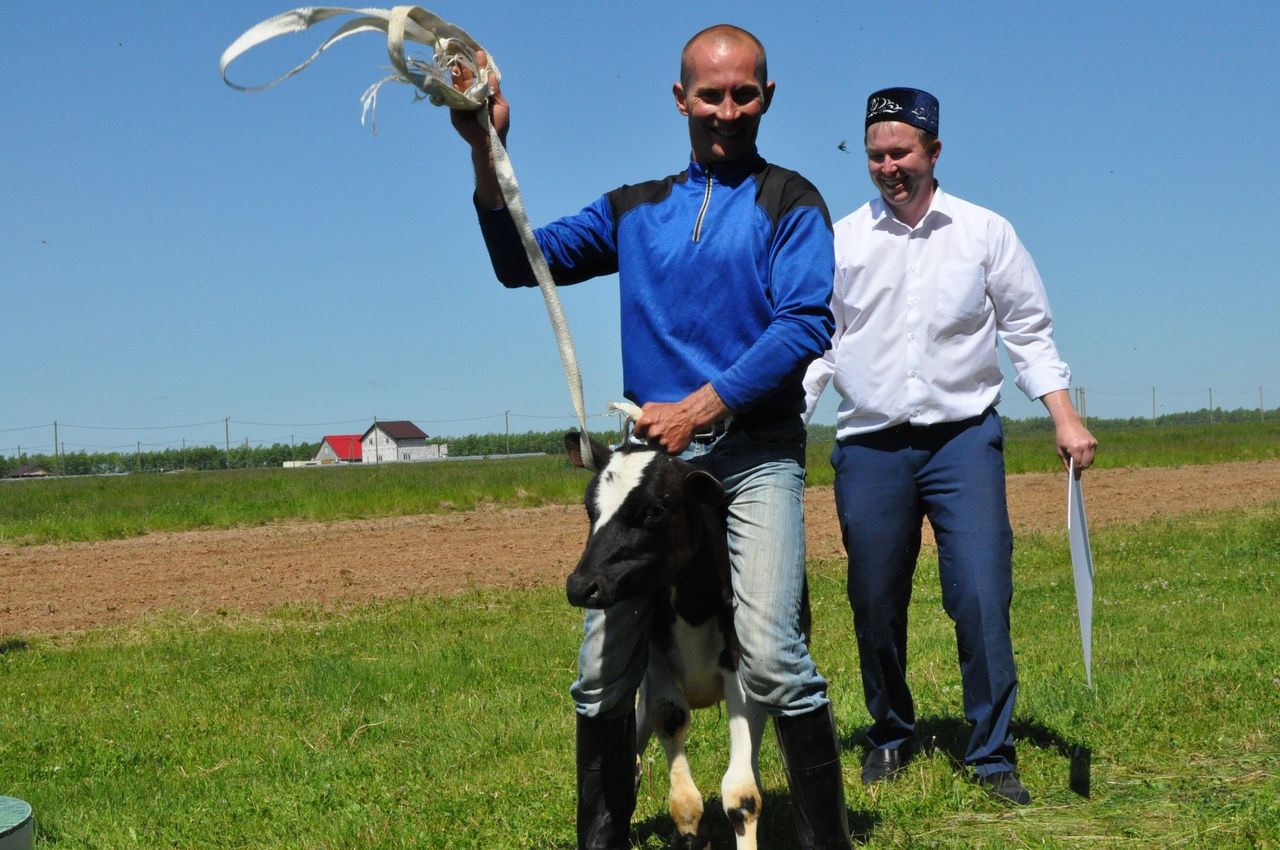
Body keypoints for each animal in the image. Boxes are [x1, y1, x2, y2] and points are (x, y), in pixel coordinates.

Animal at [565, 435, 762, 844]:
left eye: (653, 511)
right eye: (590, 508)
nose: (581, 586)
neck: (693, 607)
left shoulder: (738, 665)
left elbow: (741, 794)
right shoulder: (656, 665)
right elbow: (669, 720)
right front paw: (687, 835)